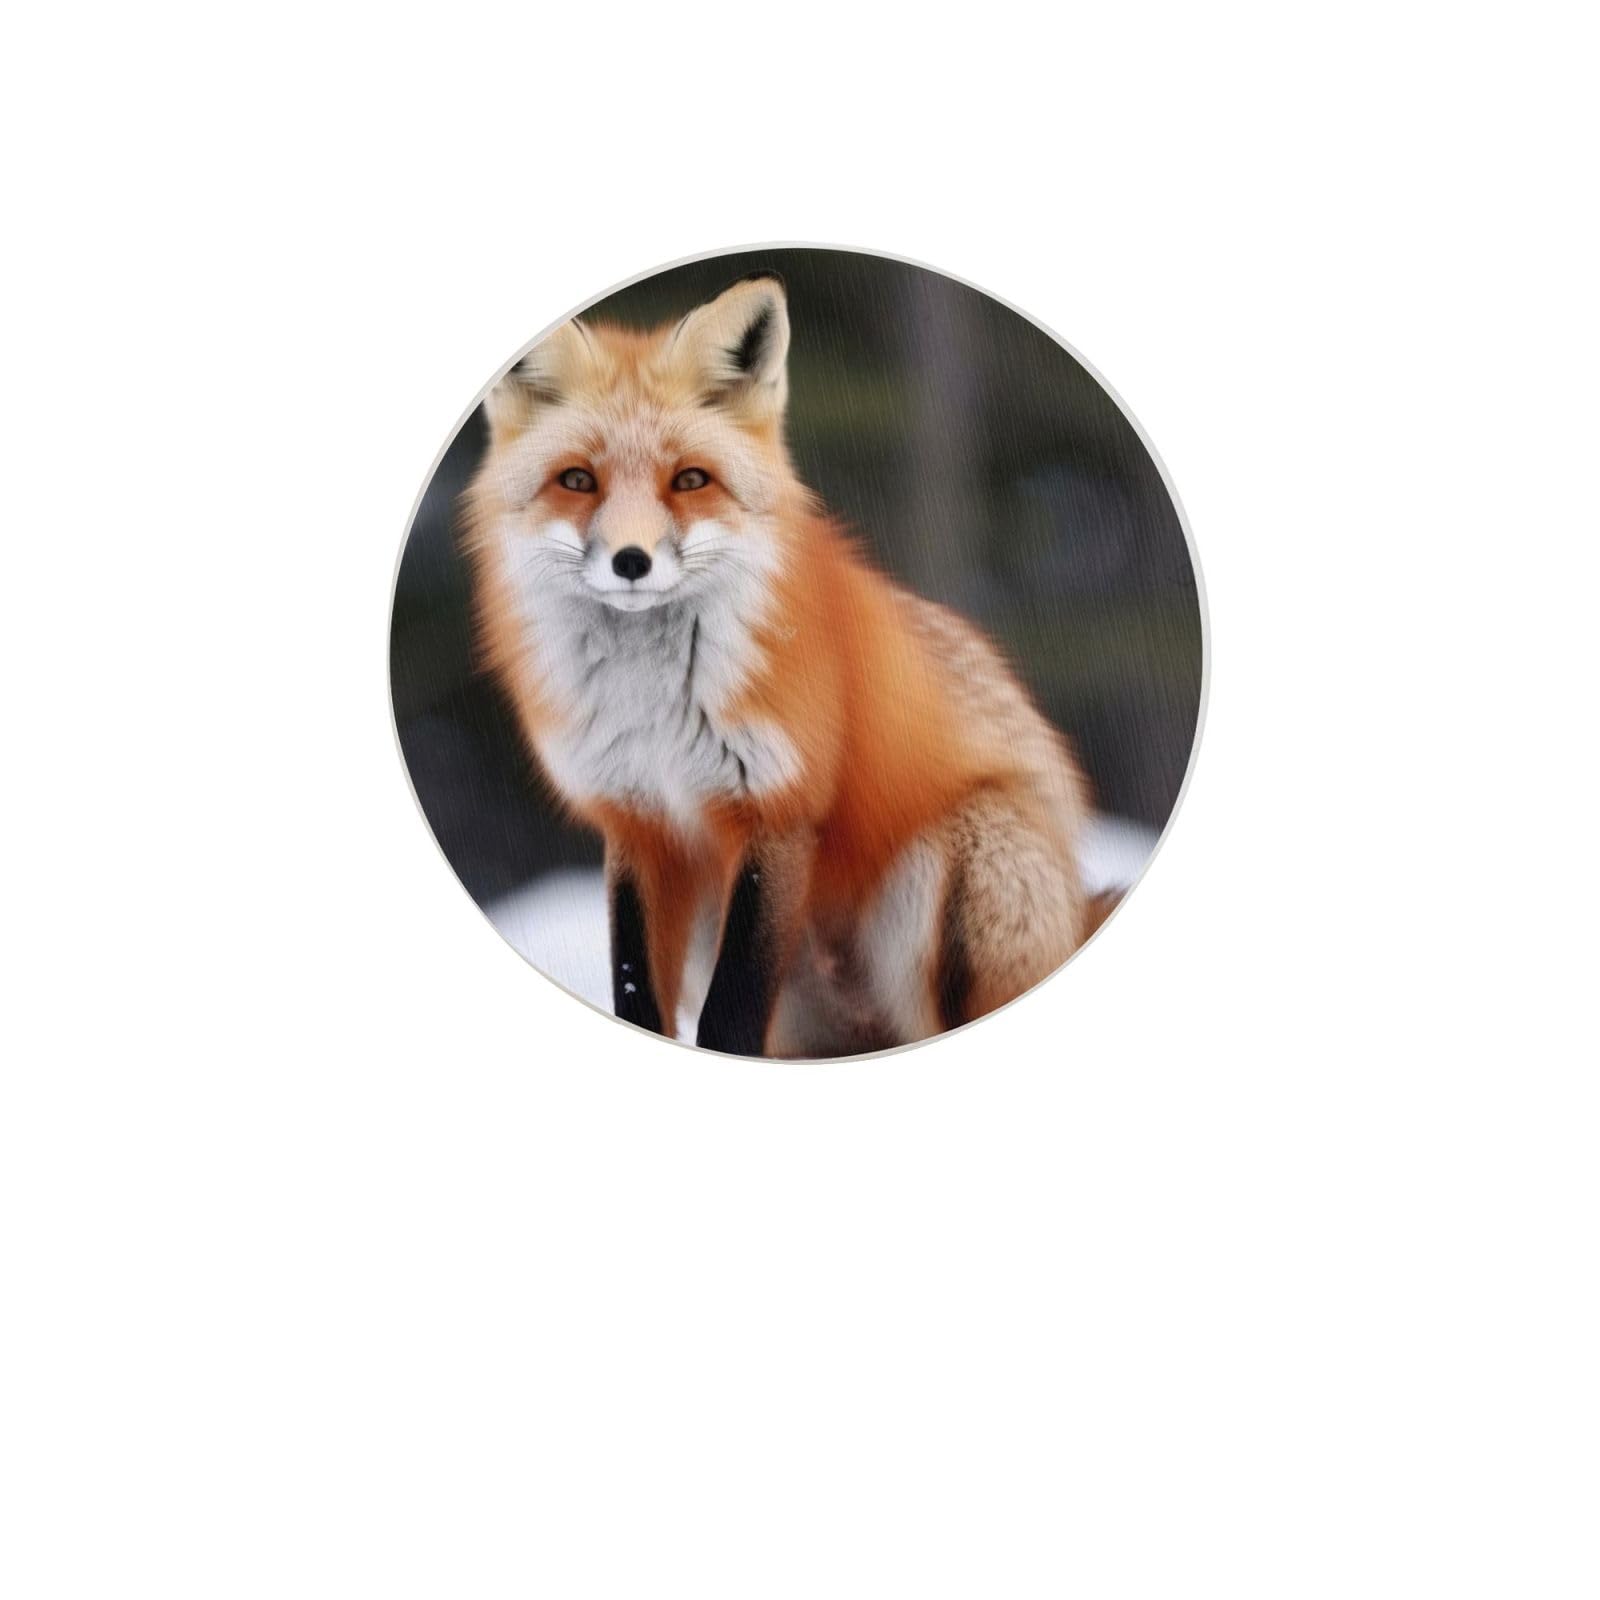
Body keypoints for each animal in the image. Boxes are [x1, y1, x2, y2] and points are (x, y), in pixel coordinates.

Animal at [463, 272, 1103, 1057]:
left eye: (691, 480)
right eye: (577, 480)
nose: (631, 561)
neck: (656, 709)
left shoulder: (777, 811)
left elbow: (729, 1015)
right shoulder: (640, 826)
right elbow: (638, 998)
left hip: (961, 868)